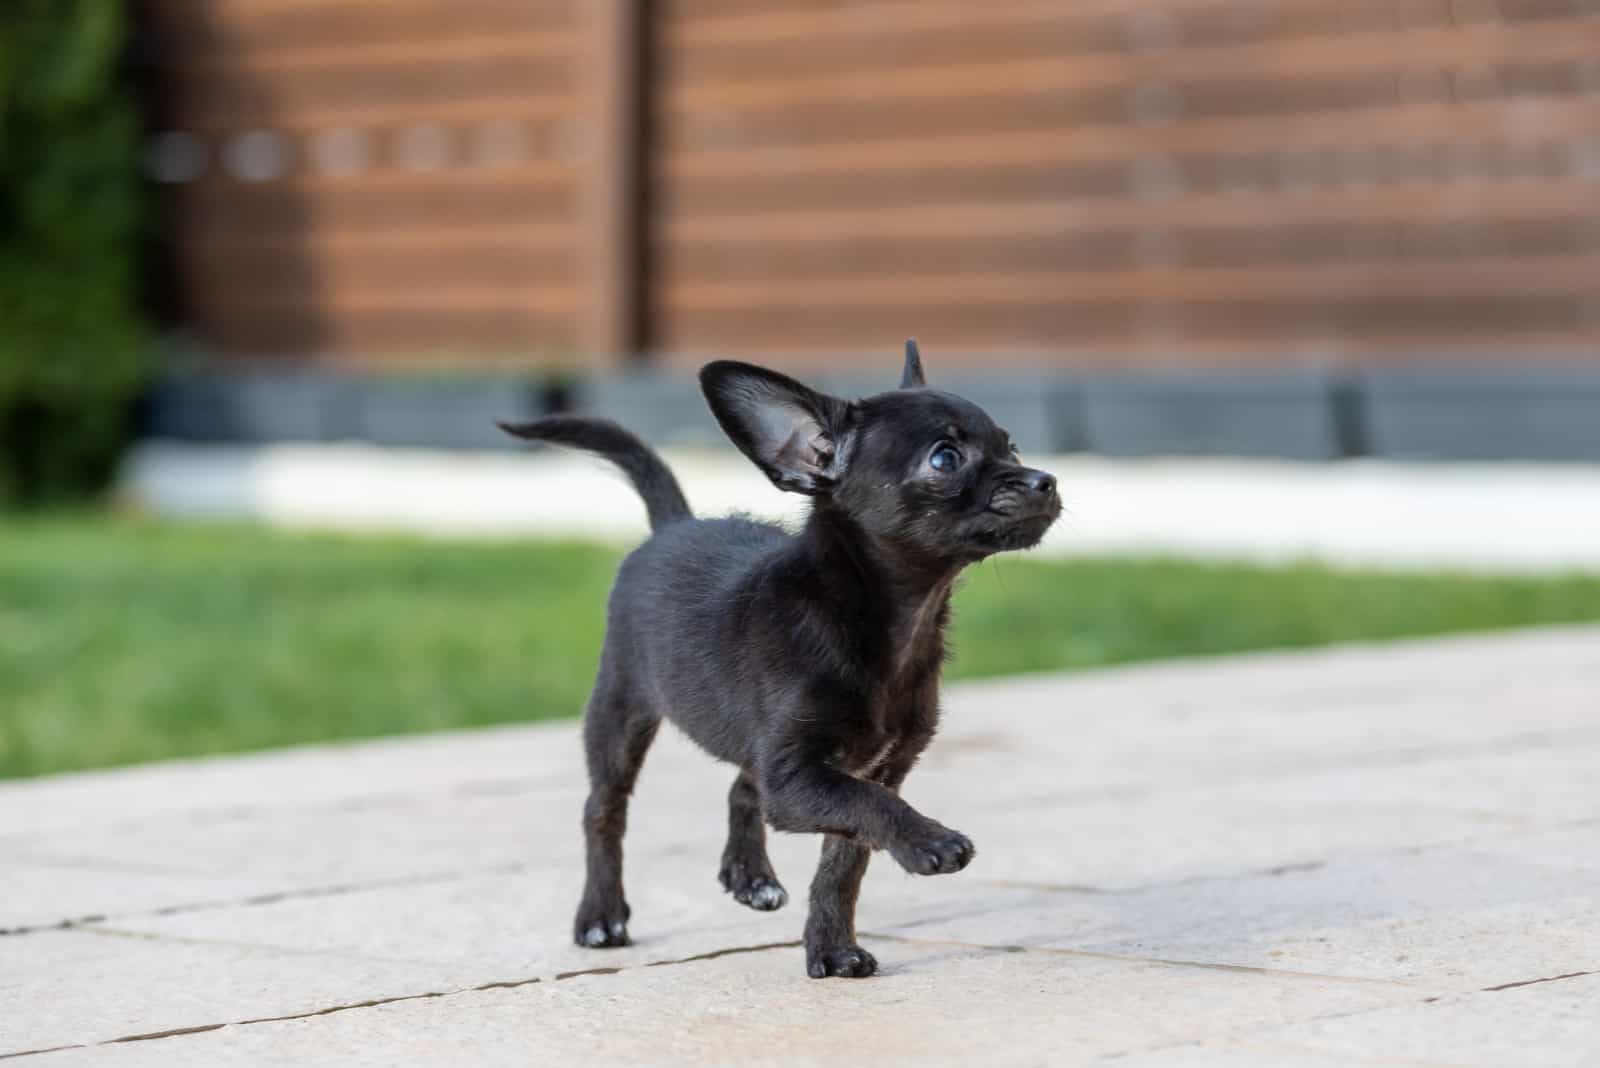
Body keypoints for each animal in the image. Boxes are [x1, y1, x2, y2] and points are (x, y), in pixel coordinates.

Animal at [492, 342, 1056, 978]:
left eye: (1011, 446)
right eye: (945, 458)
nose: (1046, 481)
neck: (885, 621)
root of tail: (673, 524)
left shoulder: (864, 768)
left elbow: (844, 863)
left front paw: (832, 949)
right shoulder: (800, 778)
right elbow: (869, 806)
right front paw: (929, 843)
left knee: (742, 786)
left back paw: (749, 876)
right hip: (619, 710)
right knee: (603, 810)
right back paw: (600, 916)